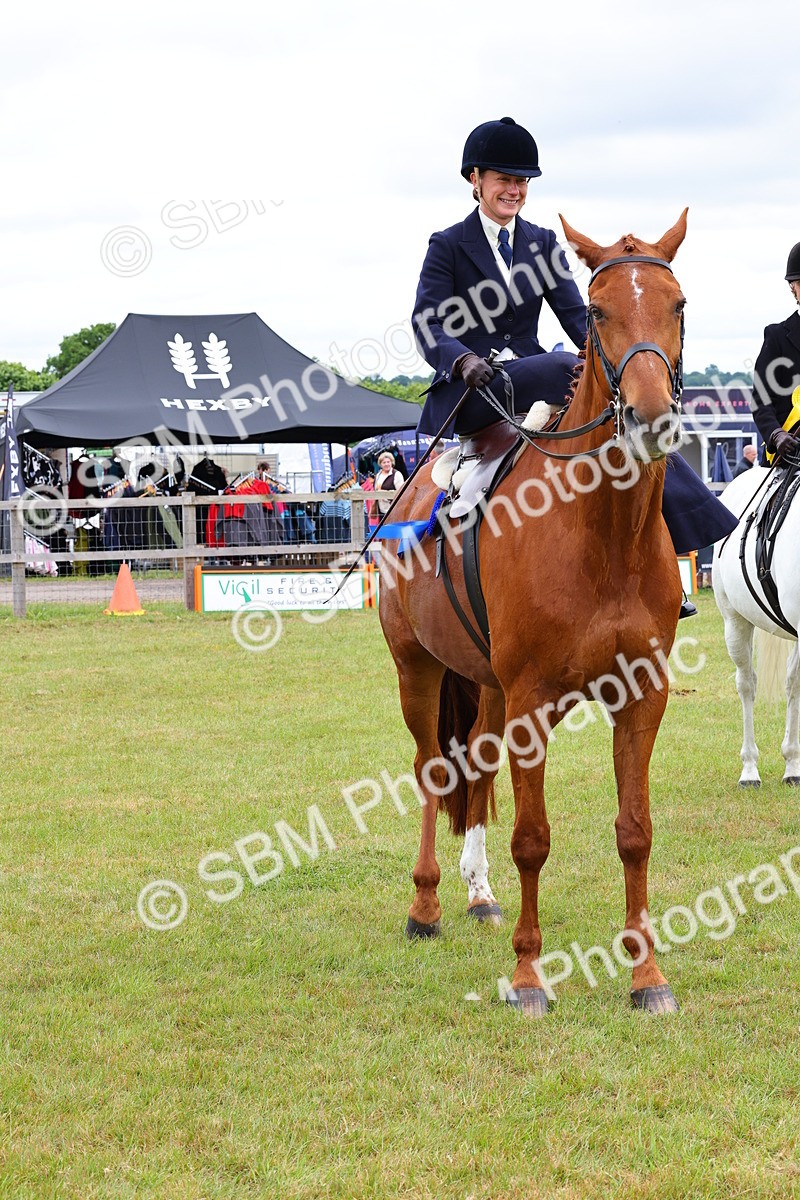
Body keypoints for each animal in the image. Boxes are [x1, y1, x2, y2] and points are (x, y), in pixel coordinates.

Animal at [378, 212, 690, 1016]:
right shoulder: (531, 703)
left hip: (484, 684)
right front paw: (526, 976)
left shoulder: (641, 696)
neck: (600, 533)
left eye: (677, 304)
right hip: (418, 671)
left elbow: (635, 831)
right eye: (599, 312)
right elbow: (532, 839)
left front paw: (647, 974)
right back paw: (426, 905)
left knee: (476, 766)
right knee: (433, 771)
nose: (651, 418)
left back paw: (478, 894)